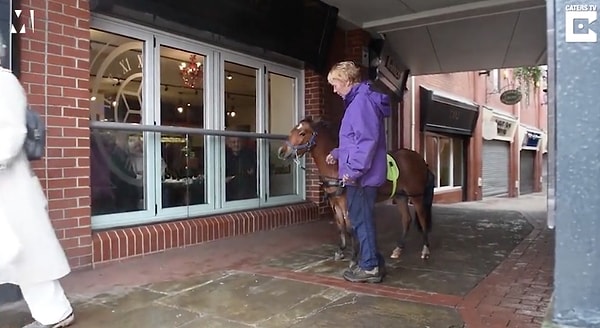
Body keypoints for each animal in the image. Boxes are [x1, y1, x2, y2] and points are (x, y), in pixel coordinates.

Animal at [276, 116, 436, 266]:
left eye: (302, 133)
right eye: (292, 131)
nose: (282, 152)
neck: (336, 167)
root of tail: (420, 160)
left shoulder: (347, 204)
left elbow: (350, 229)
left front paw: (354, 257)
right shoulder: (335, 204)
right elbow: (340, 226)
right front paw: (340, 251)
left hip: (416, 196)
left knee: (422, 219)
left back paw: (425, 250)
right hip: (401, 196)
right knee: (406, 220)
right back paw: (398, 249)